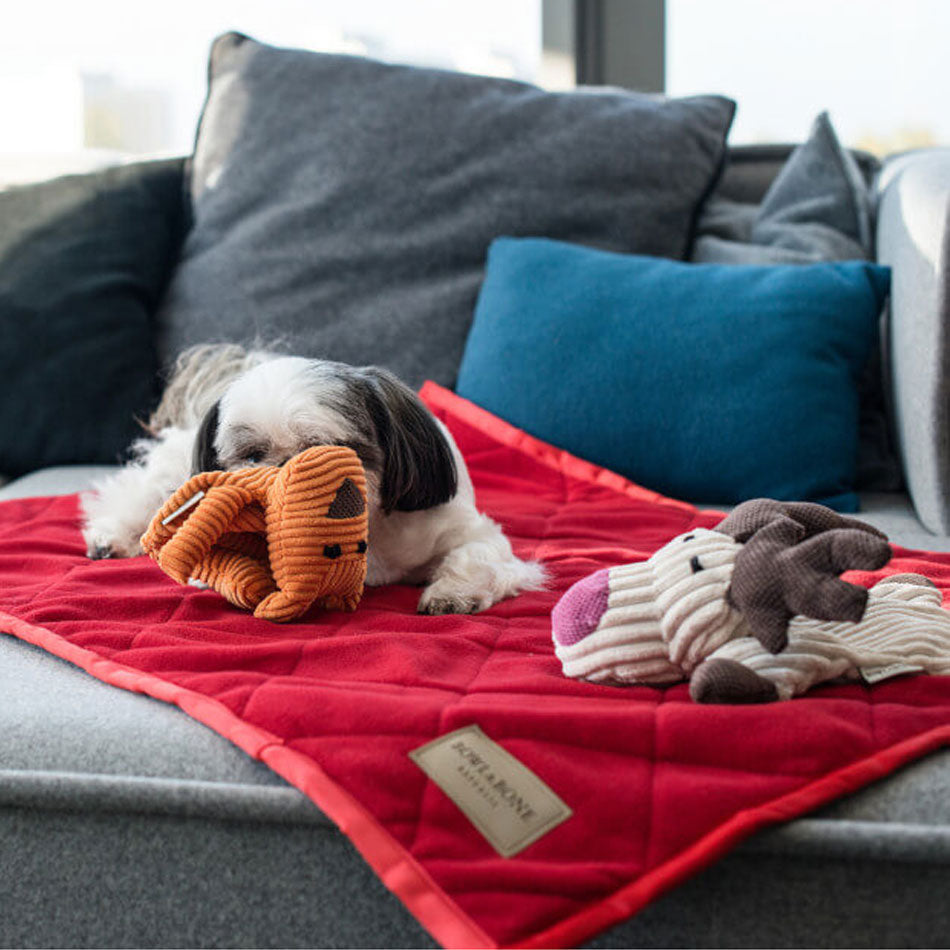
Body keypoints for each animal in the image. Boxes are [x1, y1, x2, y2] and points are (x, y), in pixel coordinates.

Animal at [81, 346, 548, 612]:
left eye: (323, 452)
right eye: (252, 457)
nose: (279, 474)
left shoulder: (462, 529)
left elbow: (475, 555)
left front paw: (451, 593)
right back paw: (112, 537)